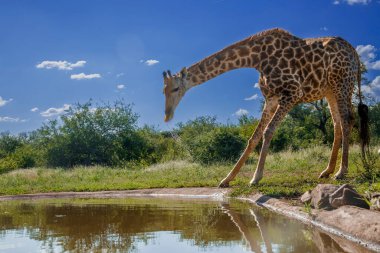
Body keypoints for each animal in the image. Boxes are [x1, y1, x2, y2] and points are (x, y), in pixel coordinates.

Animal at [163, 28, 368, 187]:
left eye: (175, 88)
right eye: (162, 90)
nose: (167, 115)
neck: (256, 59)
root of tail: (355, 54)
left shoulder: (293, 93)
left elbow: (268, 131)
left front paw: (255, 178)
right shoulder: (271, 98)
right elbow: (253, 137)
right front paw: (226, 179)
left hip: (342, 84)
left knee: (347, 120)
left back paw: (341, 171)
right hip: (330, 90)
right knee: (337, 123)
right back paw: (328, 170)